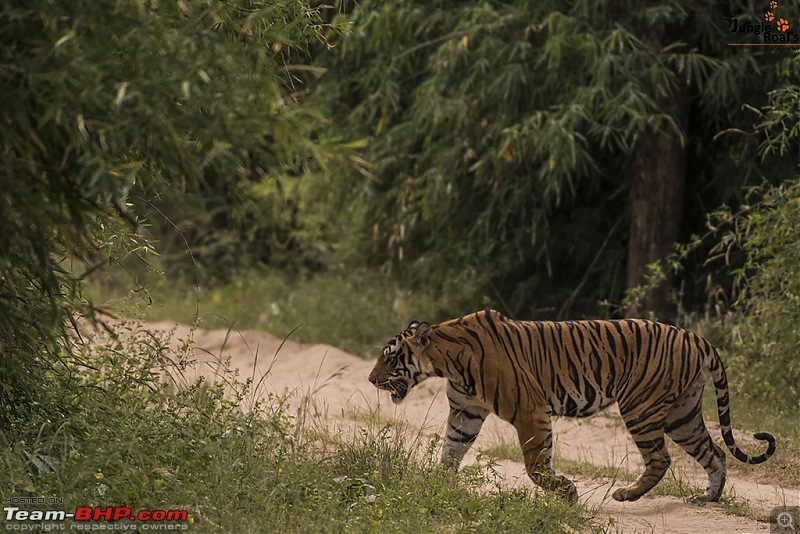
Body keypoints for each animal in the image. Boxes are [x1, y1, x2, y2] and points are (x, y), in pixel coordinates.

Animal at [368, 312, 776, 504]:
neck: (445, 360)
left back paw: (626, 495)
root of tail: (695, 336)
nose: (371, 379)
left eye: (390, 357)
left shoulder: (529, 411)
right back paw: (708, 497)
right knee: (715, 452)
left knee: (661, 458)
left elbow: (535, 465)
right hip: (682, 414)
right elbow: (450, 451)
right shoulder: (466, 412)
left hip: (640, 406)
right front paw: (437, 487)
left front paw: (567, 495)